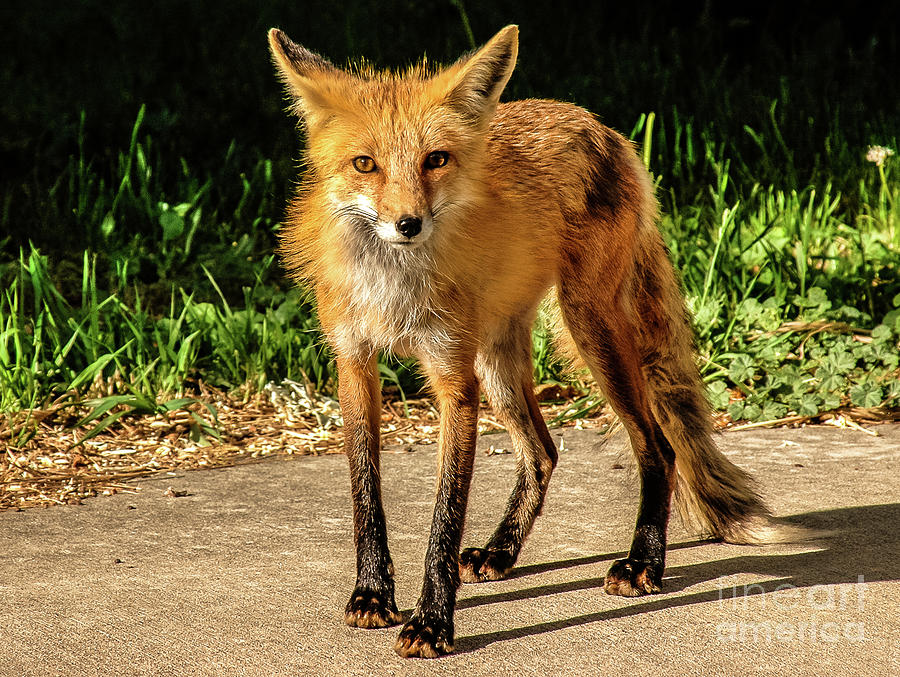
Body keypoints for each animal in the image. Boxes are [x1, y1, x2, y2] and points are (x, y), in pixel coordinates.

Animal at [266, 25, 772, 656]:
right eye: (365, 164)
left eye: (436, 160)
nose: (408, 224)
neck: (395, 286)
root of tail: (598, 125)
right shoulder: (354, 363)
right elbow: (367, 496)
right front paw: (373, 595)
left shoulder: (453, 377)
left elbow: (445, 513)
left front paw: (432, 622)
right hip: (499, 363)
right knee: (544, 450)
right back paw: (501, 549)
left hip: (589, 330)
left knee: (659, 445)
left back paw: (643, 563)